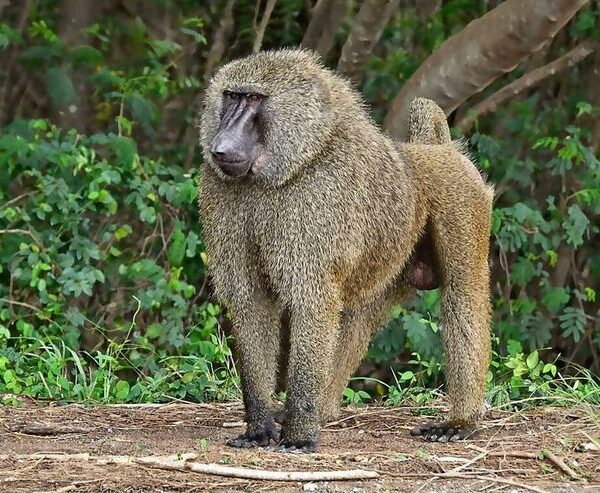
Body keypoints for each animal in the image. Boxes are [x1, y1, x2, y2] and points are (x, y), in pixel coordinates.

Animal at [198, 49, 494, 451]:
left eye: (255, 99)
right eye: (231, 96)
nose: (221, 146)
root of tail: (436, 151)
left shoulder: (317, 199)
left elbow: (311, 301)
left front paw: (299, 435)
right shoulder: (221, 194)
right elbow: (250, 299)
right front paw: (260, 428)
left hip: (463, 199)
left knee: (463, 293)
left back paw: (461, 422)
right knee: (359, 315)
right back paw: (324, 409)